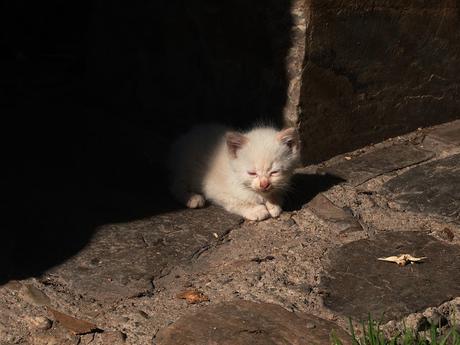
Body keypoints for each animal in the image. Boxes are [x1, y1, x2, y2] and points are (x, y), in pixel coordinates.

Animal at [167, 123, 300, 220]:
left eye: (274, 172)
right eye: (252, 173)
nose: (264, 184)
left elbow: (276, 192)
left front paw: (273, 203)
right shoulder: (213, 189)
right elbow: (237, 200)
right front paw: (256, 210)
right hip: (185, 165)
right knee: (175, 186)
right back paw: (193, 198)